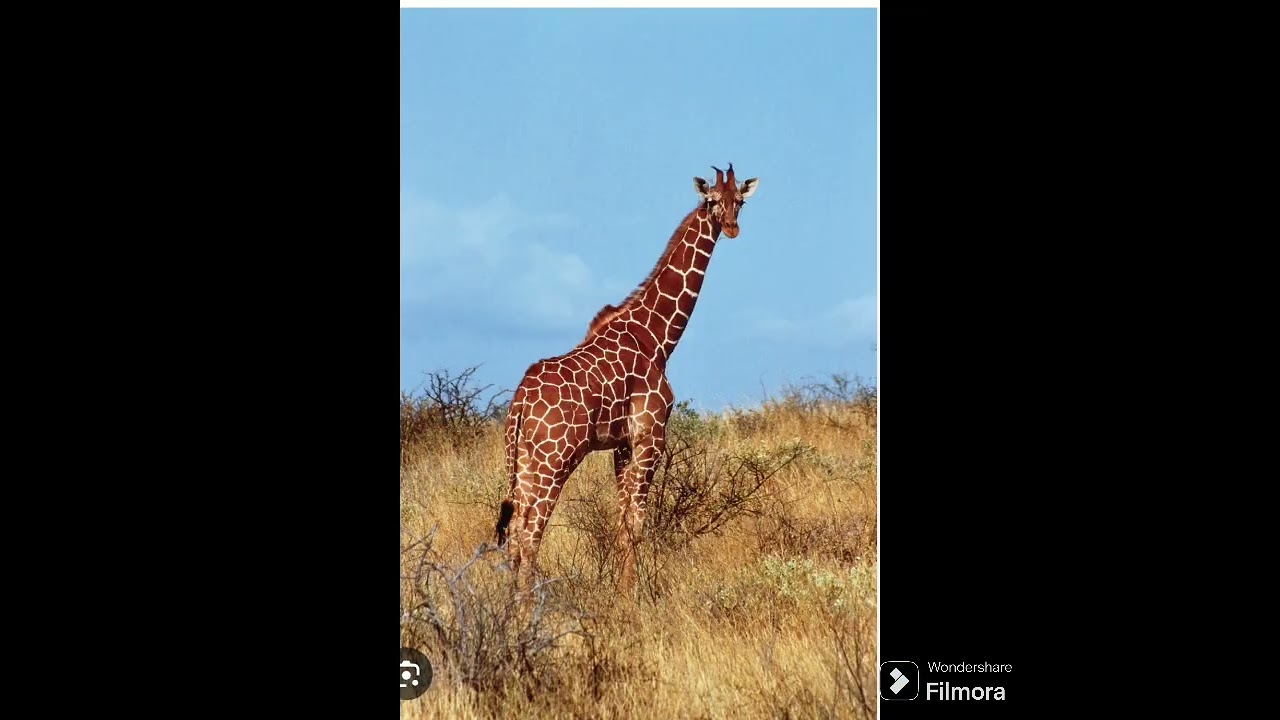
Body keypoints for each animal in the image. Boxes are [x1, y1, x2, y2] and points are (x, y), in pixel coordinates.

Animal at [495, 164, 759, 593]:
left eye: (740, 200)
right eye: (711, 201)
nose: (732, 228)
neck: (657, 337)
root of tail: (519, 403)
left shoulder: (621, 443)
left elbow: (622, 522)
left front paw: (623, 589)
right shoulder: (651, 434)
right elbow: (636, 522)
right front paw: (633, 595)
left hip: (521, 459)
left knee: (516, 531)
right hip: (555, 459)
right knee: (531, 532)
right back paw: (527, 605)